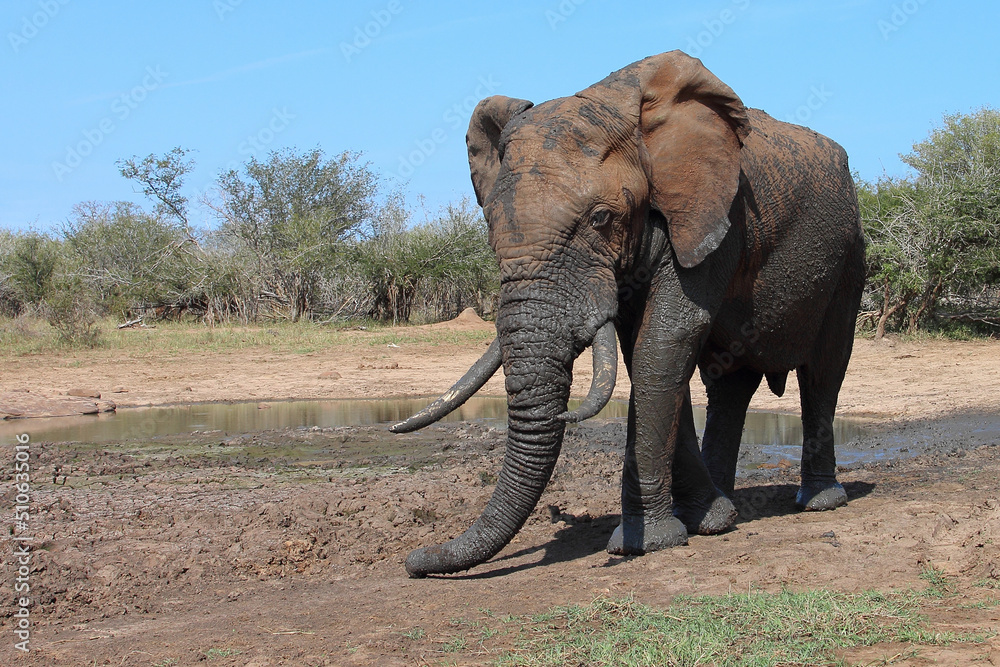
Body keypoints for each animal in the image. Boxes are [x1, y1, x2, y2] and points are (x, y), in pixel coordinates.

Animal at [391, 50, 865, 578]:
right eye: (489, 223)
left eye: (601, 219)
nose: (415, 561)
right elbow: (646, 353)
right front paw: (696, 524)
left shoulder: (719, 213)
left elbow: (663, 344)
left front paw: (644, 543)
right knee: (730, 385)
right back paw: (724, 510)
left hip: (849, 257)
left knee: (824, 372)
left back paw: (820, 501)